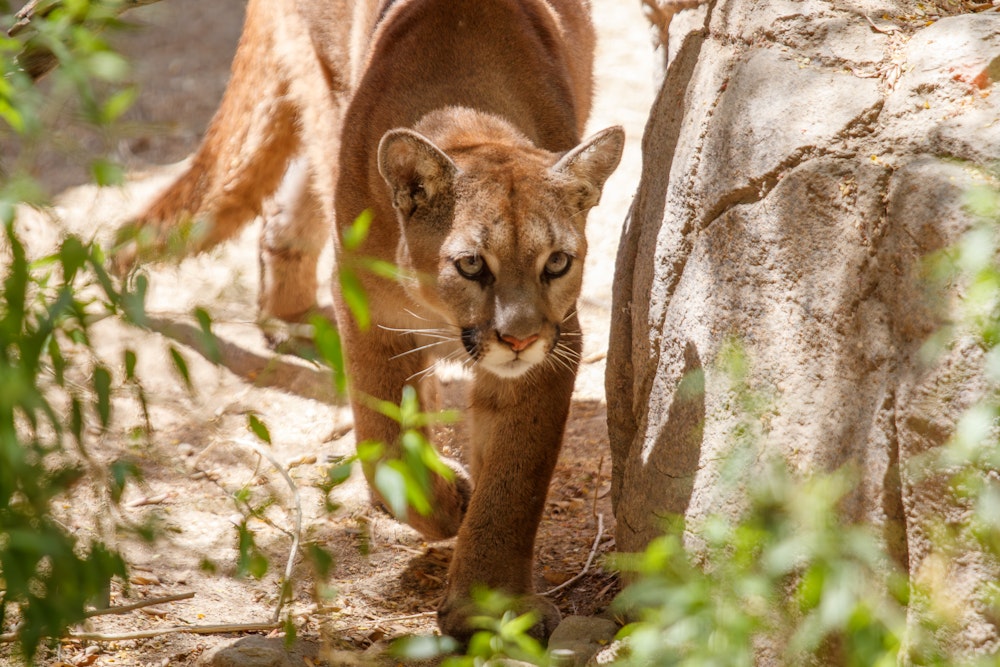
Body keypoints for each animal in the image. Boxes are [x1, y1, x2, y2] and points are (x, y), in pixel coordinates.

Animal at [114, 0, 624, 640]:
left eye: (557, 261)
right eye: (471, 263)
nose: (519, 337)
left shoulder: (558, 343)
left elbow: (516, 478)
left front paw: (489, 601)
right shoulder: (368, 310)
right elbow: (383, 435)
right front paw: (442, 505)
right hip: (325, 94)